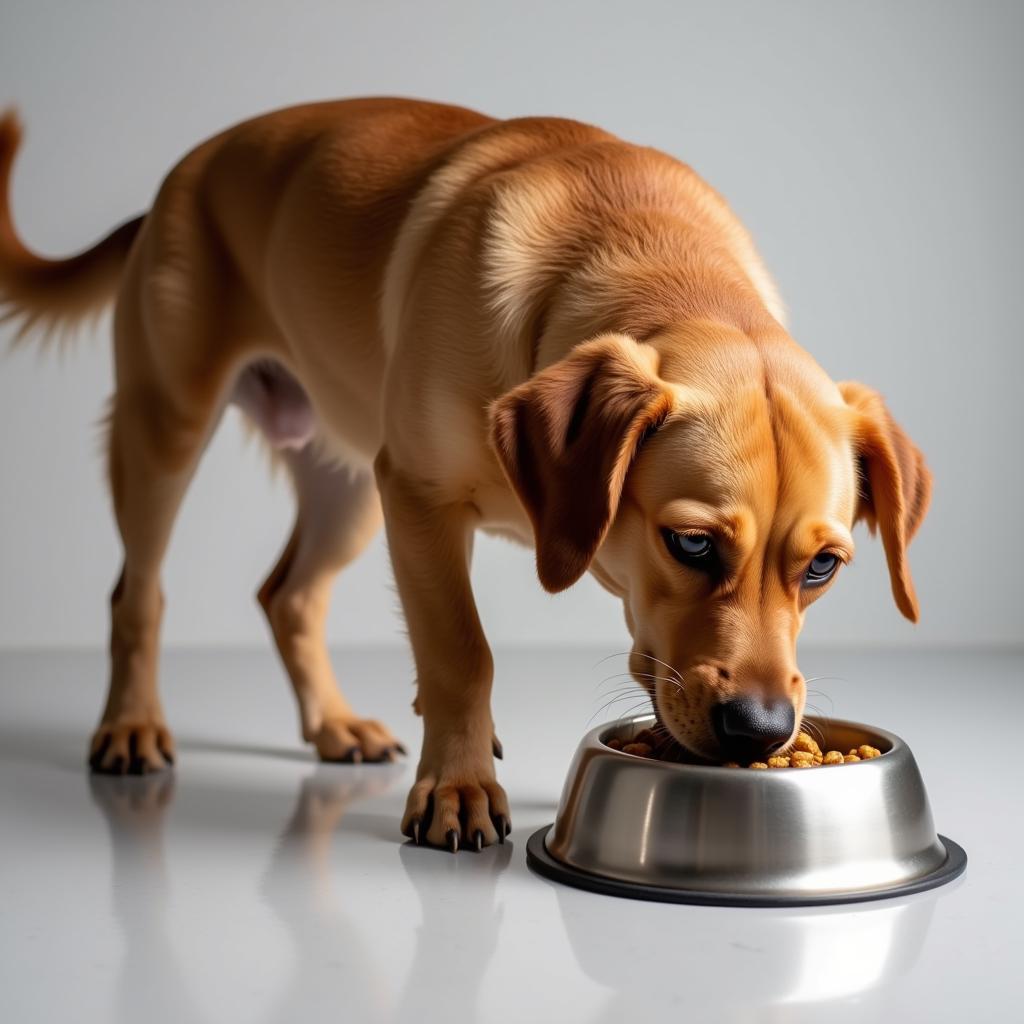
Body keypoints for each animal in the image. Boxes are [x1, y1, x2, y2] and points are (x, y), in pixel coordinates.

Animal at [0, 97, 929, 847]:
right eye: (692, 544)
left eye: (822, 567)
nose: (762, 730)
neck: (646, 252)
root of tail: (177, 178)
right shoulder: (420, 499)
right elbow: (460, 651)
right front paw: (457, 787)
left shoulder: (397, 495)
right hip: (168, 430)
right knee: (138, 593)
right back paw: (130, 726)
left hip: (348, 489)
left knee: (287, 596)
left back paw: (333, 724)